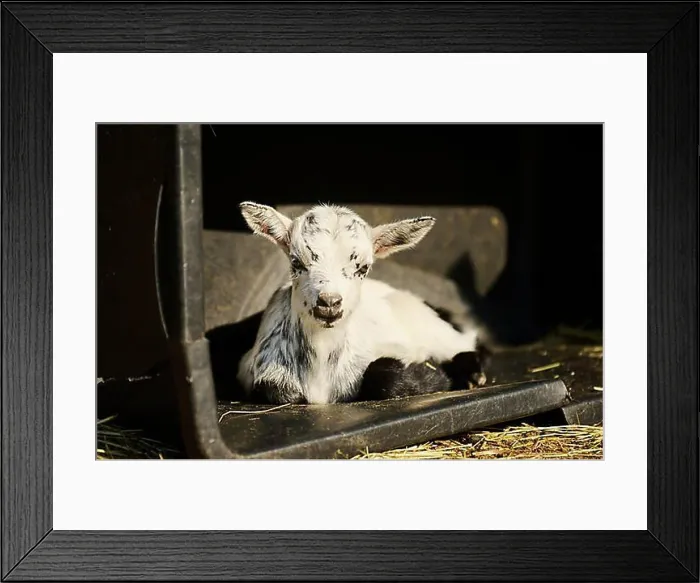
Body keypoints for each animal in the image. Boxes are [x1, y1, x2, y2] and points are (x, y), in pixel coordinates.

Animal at [236, 202, 490, 405]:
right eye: (296, 262)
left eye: (363, 268)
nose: (330, 302)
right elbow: (276, 389)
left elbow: (385, 376)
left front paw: (438, 377)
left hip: (432, 329)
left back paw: (472, 375)